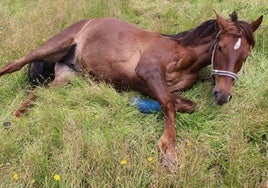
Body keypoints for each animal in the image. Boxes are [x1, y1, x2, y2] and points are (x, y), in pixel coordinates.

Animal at [0, 11, 262, 168]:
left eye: (245, 55)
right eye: (221, 47)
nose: (222, 96)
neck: (183, 54)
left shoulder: (153, 83)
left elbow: (182, 103)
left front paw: (136, 102)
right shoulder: (149, 71)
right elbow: (168, 104)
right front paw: (169, 151)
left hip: (67, 77)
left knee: (39, 93)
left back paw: (14, 119)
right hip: (52, 46)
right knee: (13, 65)